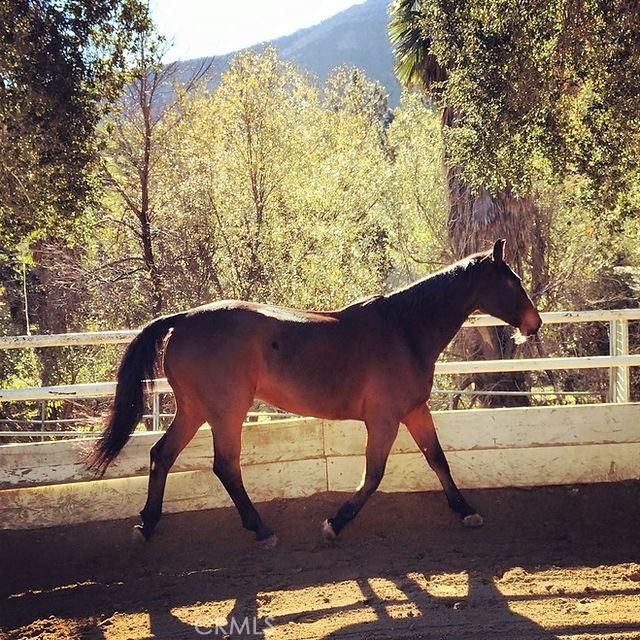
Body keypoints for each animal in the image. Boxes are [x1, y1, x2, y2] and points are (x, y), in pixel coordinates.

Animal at [89, 238, 540, 548]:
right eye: (512, 282)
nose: (533, 324)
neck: (404, 329)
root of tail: (183, 319)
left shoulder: (414, 411)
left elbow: (438, 460)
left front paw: (466, 511)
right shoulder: (384, 419)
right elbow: (373, 474)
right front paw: (334, 523)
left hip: (195, 410)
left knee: (162, 455)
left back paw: (147, 524)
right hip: (225, 413)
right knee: (225, 466)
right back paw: (261, 530)